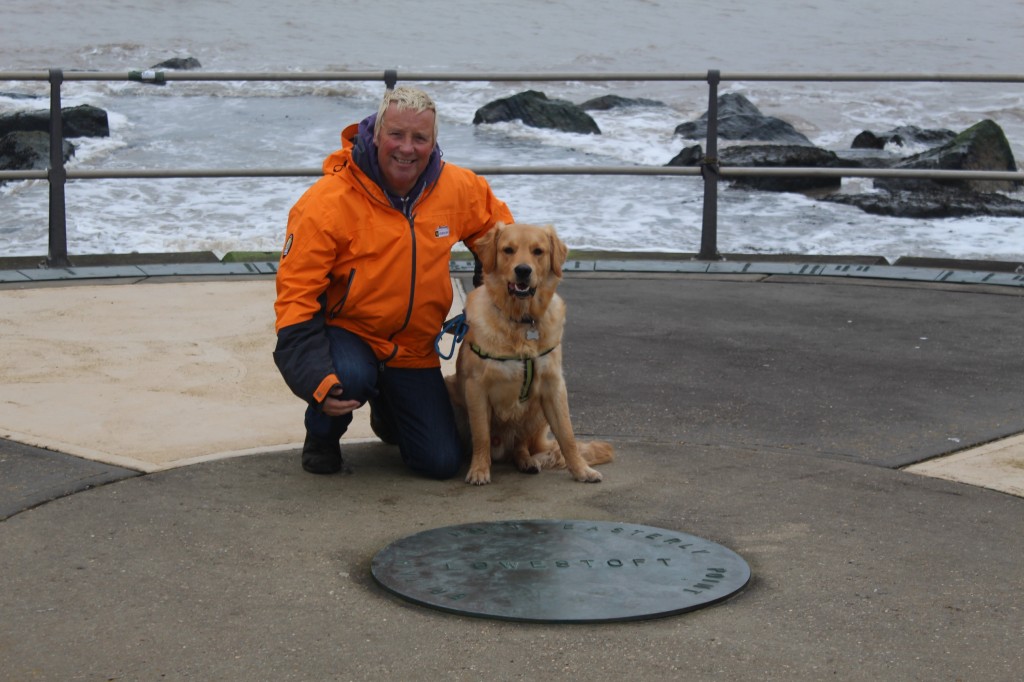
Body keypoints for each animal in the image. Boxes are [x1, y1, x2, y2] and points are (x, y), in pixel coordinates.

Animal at [444, 219, 610, 483]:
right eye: (508, 250)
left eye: (538, 251)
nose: (523, 270)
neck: (521, 320)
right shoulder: (475, 387)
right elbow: (481, 435)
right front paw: (479, 470)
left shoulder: (554, 386)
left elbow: (567, 435)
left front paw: (582, 470)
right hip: (452, 392)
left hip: (537, 410)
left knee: (520, 446)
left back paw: (527, 461)